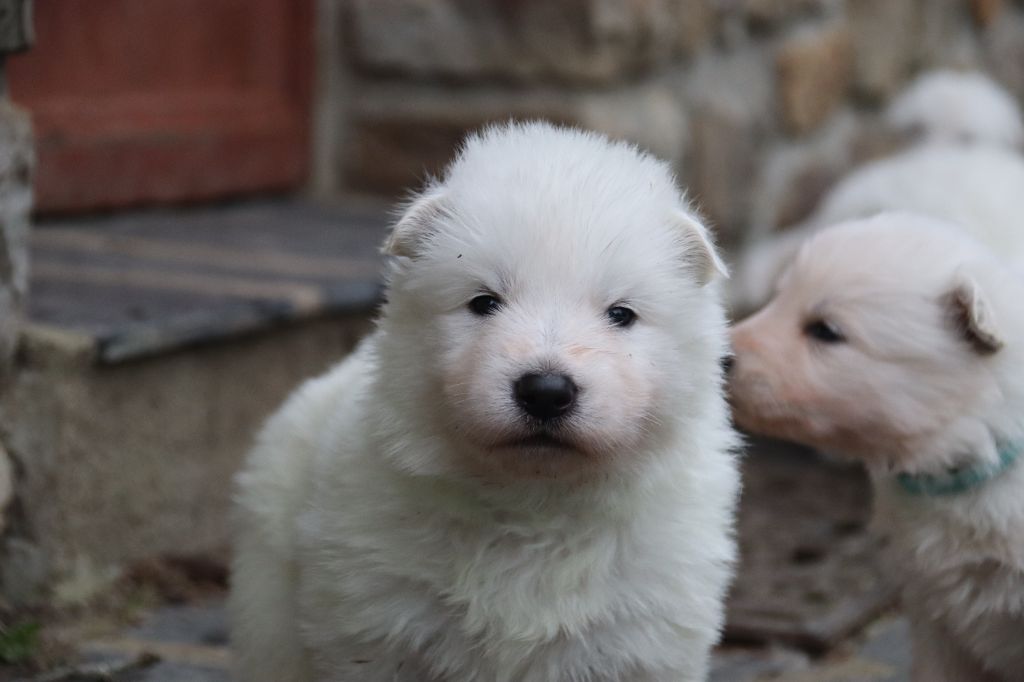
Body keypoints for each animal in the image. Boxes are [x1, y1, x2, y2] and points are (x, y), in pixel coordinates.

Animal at [228, 122, 741, 679]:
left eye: (621, 314)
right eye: (484, 302)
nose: (546, 392)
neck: (534, 506)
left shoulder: (643, 637)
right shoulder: (378, 624)